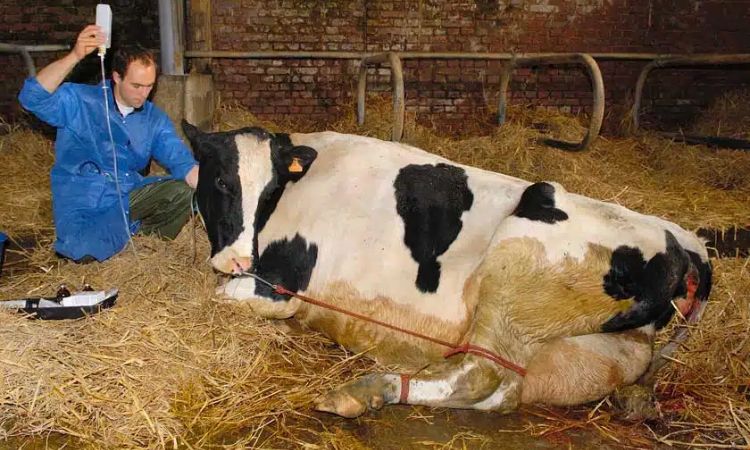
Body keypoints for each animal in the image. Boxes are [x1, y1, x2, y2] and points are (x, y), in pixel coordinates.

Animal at [181, 121, 712, 418]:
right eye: (221, 182)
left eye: (271, 189)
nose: (239, 258)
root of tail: (680, 240)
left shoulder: (282, 285)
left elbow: (219, 295)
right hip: (587, 346)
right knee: (505, 391)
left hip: (512, 270)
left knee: (481, 374)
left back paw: (366, 389)